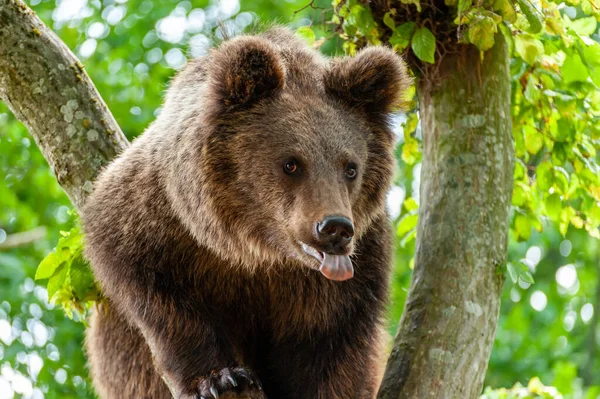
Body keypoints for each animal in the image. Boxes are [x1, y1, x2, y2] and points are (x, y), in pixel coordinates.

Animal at [82, 25, 410, 399]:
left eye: (350, 167)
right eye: (291, 163)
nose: (335, 228)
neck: (254, 250)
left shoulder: (351, 274)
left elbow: (330, 347)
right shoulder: (159, 221)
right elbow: (163, 303)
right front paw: (218, 377)